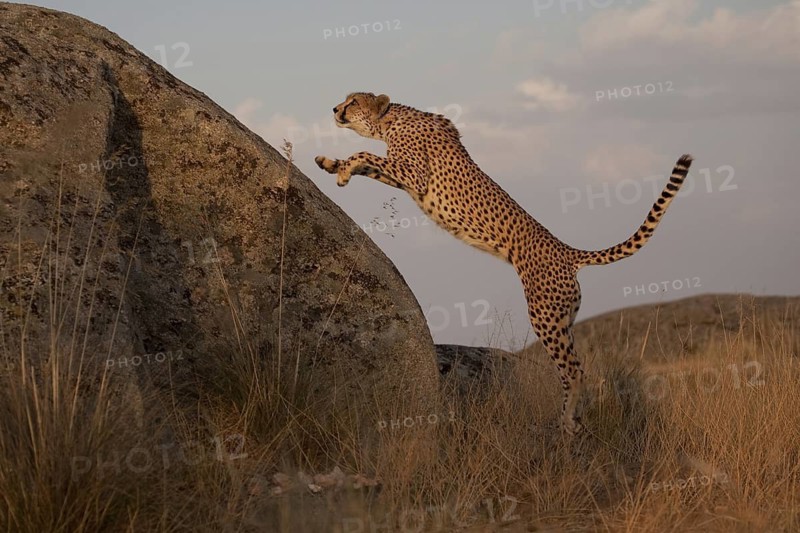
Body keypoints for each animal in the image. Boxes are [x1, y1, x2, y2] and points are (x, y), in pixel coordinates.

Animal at [315, 91, 693, 435]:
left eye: (353, 101)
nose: (333, 108)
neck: (391, 119)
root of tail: (567, 251)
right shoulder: (401, 177)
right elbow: (366, 163)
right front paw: (330, 164)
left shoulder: (414, 175)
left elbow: (364, 155)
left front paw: (341, 170)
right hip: (564, 319)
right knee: (577, 366)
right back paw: (573, 419)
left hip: (544, 316)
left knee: (573, 370)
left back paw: (567, 421)